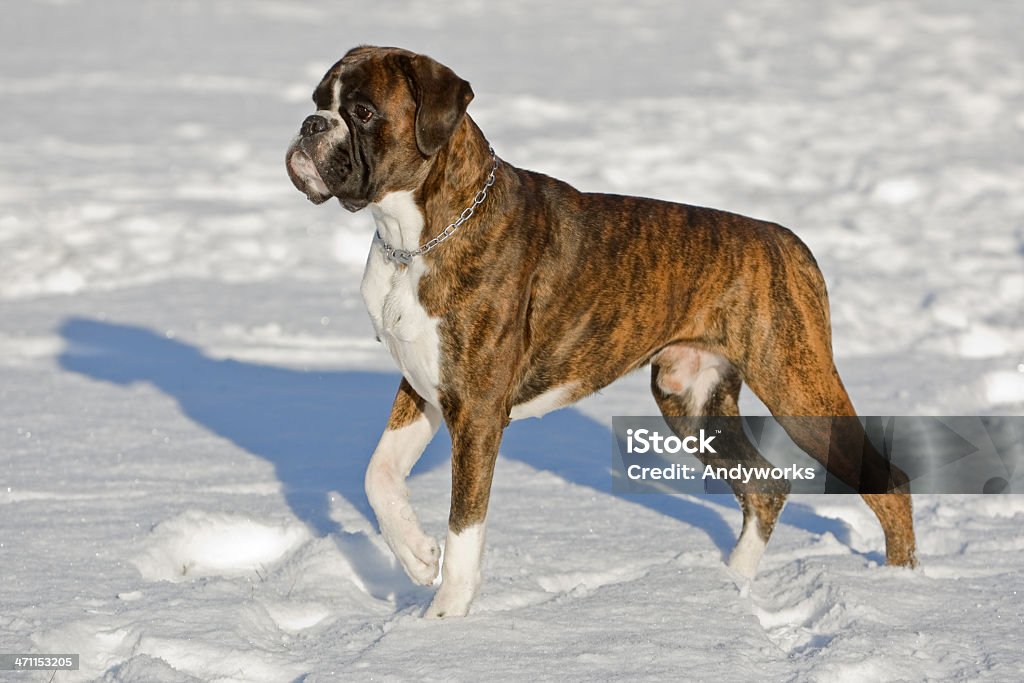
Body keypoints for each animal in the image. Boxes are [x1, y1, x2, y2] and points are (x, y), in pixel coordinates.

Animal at [284, 45, 917, 618]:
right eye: (318, 102)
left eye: (363, 112)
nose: (310, 125)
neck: (415, 238)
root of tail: (786, 240)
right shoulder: (425, 388)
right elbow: (380, 475)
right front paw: (416, 557)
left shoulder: (478, 410)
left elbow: (465, 526)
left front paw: (444, 620)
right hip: (692, 400)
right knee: (765, 488)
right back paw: (728, 587)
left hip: (798, 391)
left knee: (887, 481)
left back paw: (903, 588)